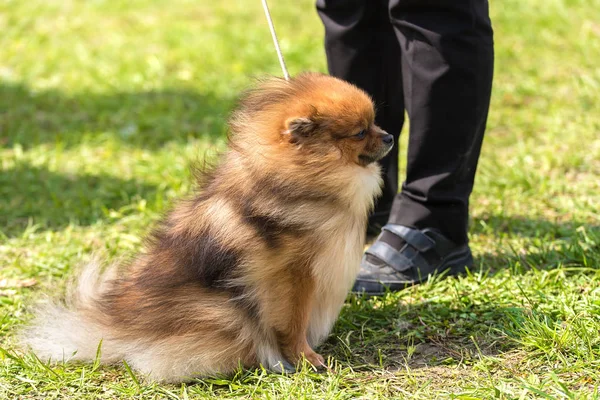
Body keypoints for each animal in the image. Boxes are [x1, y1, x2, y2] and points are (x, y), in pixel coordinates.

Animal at [22, 73, 394, 382]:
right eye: (361, 131)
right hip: (221, 311)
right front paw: (305, 358)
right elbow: (292, 322)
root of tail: (111, 329)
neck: (301, 179)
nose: (390, 136)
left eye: (375, 122)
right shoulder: (294, 273)